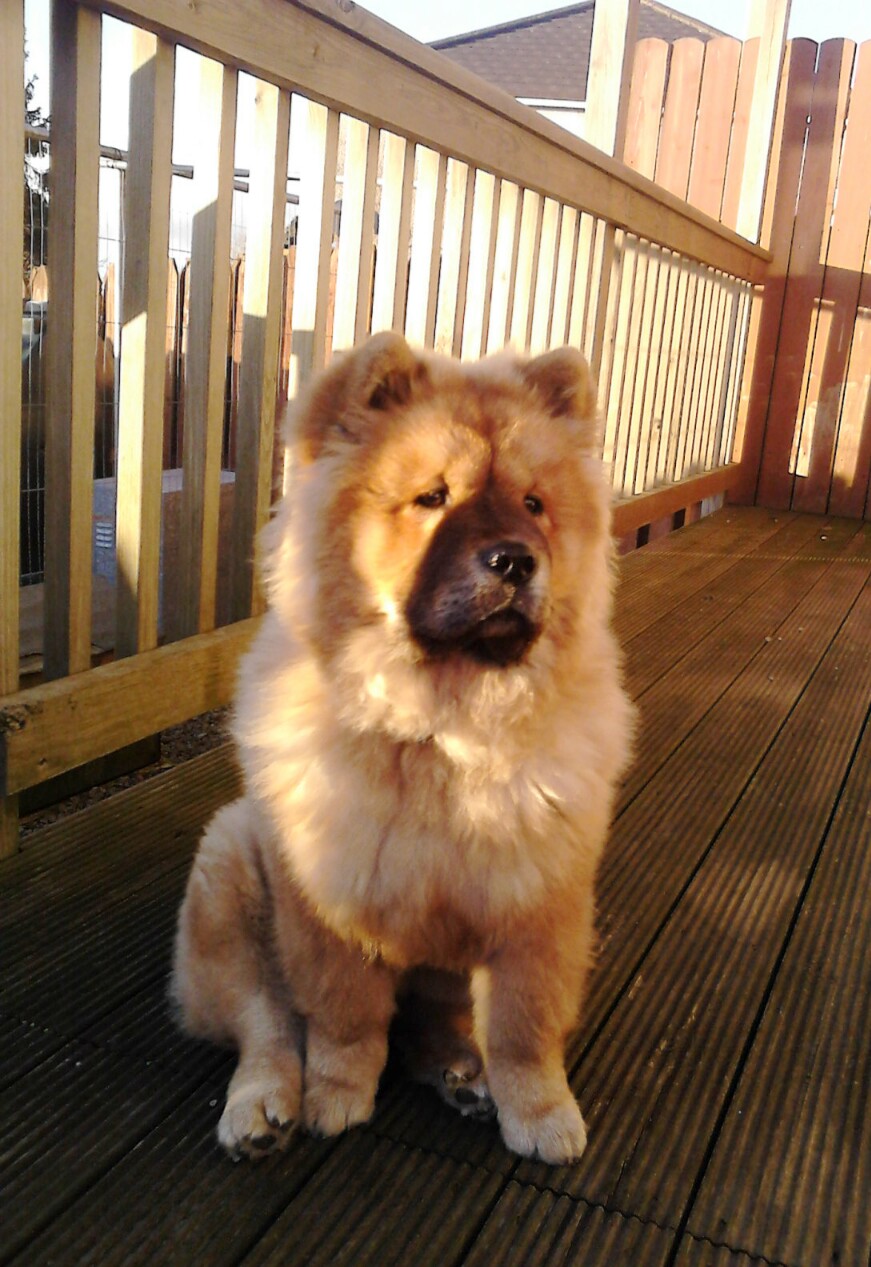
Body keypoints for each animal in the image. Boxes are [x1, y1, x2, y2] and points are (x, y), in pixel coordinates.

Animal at [169, 331, 633, 1160]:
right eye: (432, 499)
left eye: (534, 505)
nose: (515, 559)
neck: (445, 724)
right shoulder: (331, 897)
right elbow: (343, 1016)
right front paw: (336, 1098)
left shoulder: (538, 901)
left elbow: (523, 1026)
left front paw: (541, 1116)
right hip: (228, 875)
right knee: (265, 1021)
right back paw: (262, 1110)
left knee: (435, 1022)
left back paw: (461, 1073)